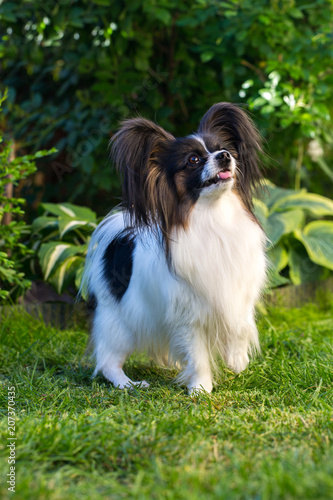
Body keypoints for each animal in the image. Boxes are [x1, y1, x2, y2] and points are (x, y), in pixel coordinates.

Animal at [81, 102, 266, 394]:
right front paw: (200, 389)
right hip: (119, 322)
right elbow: (198, 354)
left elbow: (239, 324)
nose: (225, 156)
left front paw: (237, 360)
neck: (213, 217)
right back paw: (129, 384)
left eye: (224, 148)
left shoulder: (239, 291)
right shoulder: (187, 315)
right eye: (193, 160)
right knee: (108, 361)